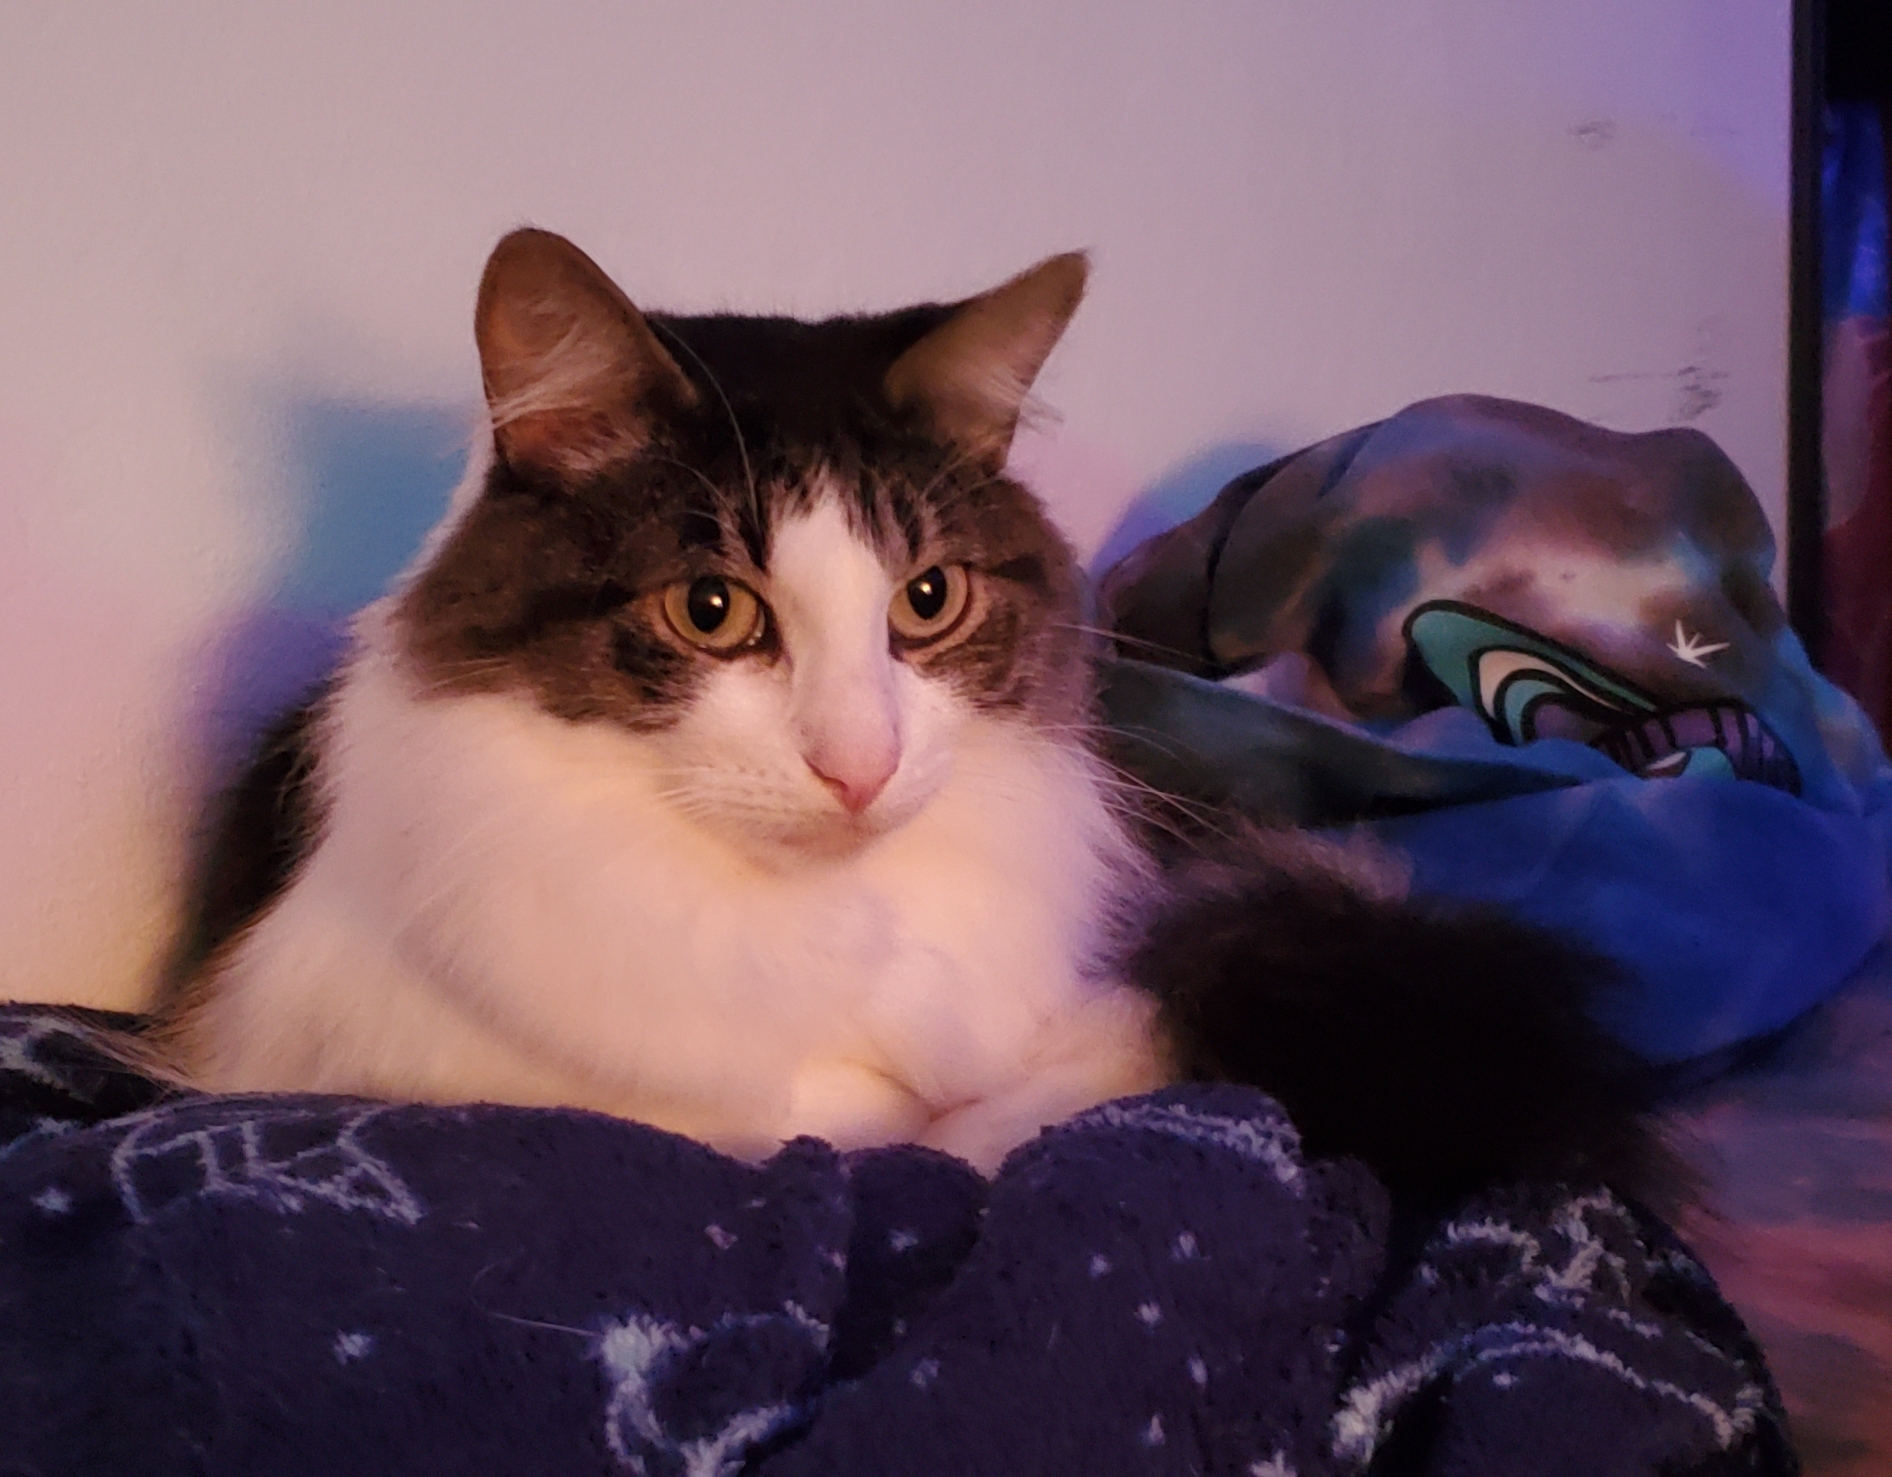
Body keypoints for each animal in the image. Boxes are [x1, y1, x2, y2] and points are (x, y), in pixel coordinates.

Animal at [155, 230, 1664, 1195]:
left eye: (927, 598)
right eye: (712, 610)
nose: (859, 765)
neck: (826, 920)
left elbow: (1060, 1073)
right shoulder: (337, 1044)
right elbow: (805, 1121)